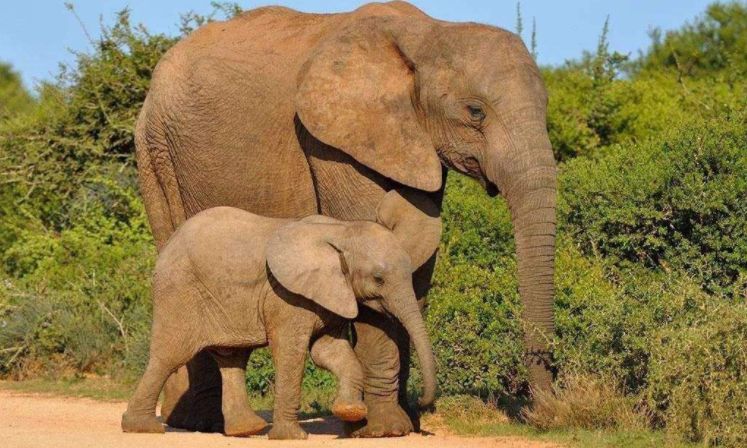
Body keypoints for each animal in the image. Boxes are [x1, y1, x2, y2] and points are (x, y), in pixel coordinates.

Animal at [121, 205, 437, 440]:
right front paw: (292, 437)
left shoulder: (331, 294)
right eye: (378, 279)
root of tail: (169, 243)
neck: (342, 230)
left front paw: (350, 411)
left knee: (231, 357)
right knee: (170, 355)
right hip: (179, 291)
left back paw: (247, 429)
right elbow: (291, 352)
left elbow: (328, 351)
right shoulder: (286, 296)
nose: (422, 404)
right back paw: (141, 428)